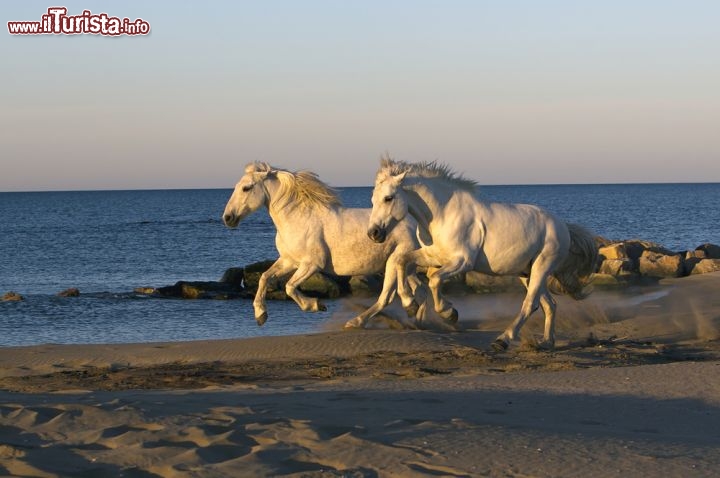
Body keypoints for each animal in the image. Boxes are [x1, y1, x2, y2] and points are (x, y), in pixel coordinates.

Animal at [222, 162, 424, 326]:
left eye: (246, 188)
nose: (228, 218)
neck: (298, 219)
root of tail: (415, 222)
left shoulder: (312, 264)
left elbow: (289, 287)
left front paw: (316, 305)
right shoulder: (288, 261)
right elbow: (264, 277)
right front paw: (260, 315)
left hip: (395, 260)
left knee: (387, 297)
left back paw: (358, 321)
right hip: (405, 266)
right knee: (417, 288)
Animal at [366, 159, 596, 350]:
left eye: (388, 198)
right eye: (372, 200)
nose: (373, 233)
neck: (443, 214)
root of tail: (562, 225)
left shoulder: (462, 262)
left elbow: (434, 280)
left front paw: (449, 313)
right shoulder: (433, 256)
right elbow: (401, 261)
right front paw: (409, 304)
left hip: (542, 266)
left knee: (530, 304)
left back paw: (503, 340)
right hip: (526, 272)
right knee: (549, 305)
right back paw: (547, 342)